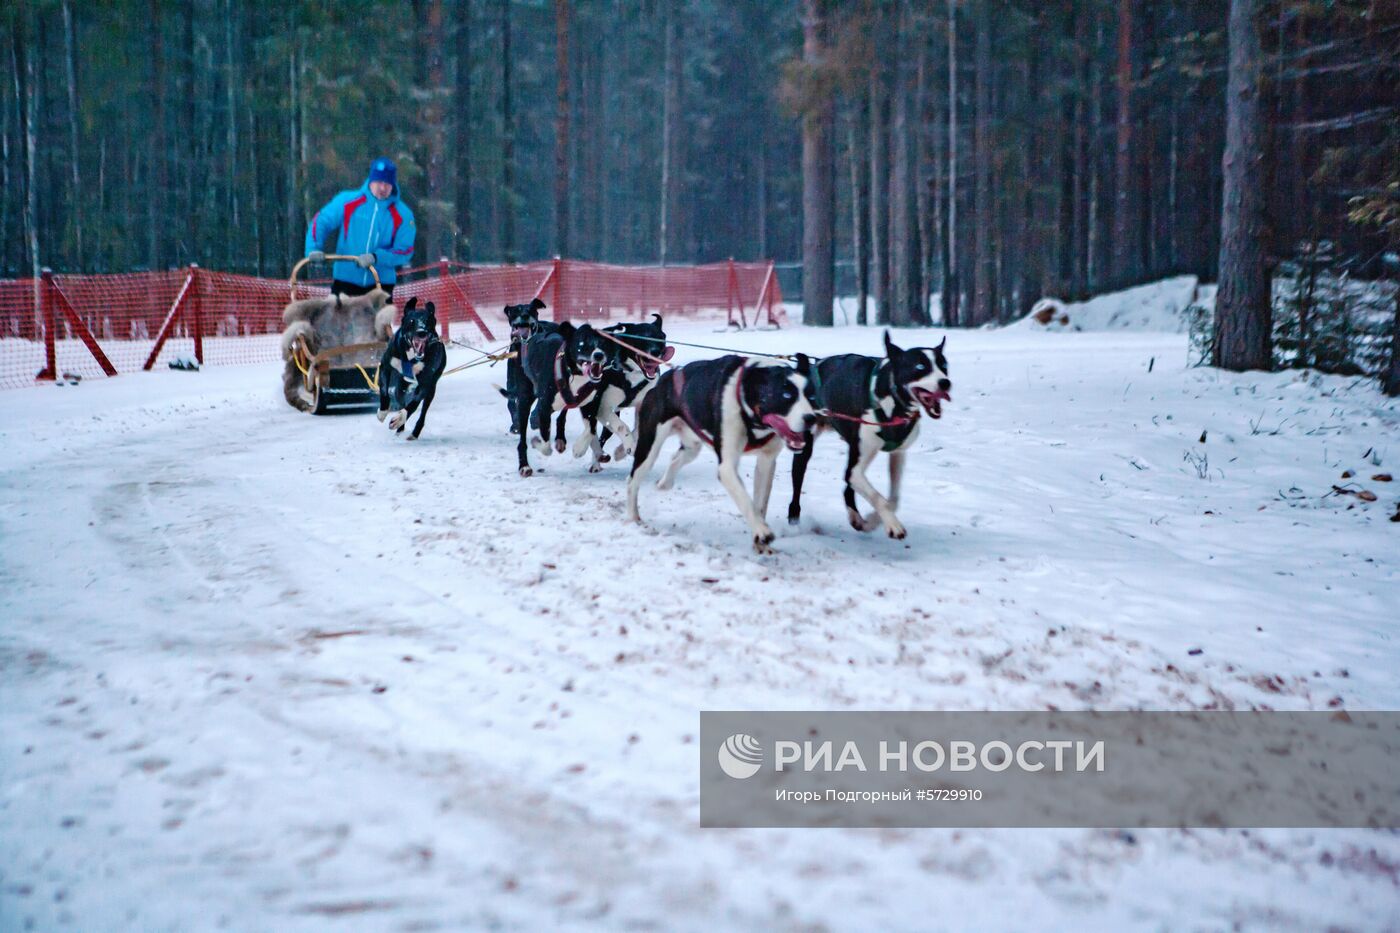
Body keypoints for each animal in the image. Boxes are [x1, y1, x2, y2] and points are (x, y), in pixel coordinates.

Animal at [375, 298, 445, 442]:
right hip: (400, 388)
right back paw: (399, 430)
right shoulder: (385, 366)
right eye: (412, 321)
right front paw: (383, 412)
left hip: (431, 390)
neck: (412, 358)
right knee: (400, 399)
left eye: (428, 321)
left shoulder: (426, 383)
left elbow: (414, 404)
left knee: (422, 413)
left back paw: (413, 432)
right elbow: (384, 390)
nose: (421, 332)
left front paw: (400, 417)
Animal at [506, 319, 610, 476]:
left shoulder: (591, 405)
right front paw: (537, 443)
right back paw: (524, 466)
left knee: (562, 415)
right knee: (522, 440)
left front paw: (579, 448)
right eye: (582, 343)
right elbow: (546, 445)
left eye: (602, 343)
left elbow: (590, 430)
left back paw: (561, 439)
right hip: (524, 400)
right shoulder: (543, 408)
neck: (573, 372)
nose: (599, 355)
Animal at [571, 313, 674, 473]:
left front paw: (622, 450)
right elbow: (621, 426)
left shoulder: (644, 404)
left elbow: (638, 430)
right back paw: (586, 452)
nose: (656, 352)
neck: (631, 373)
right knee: (593, 428)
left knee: (602, 433)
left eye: (660, 338)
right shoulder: (603, 407)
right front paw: (629, 445)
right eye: (641, 338)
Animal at [627, 353, 817, 549]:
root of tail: (665, 379)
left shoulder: (767, 462)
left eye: (811, 396)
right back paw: (633, 517)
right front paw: (762, 531)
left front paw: (759, 534)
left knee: (675, 459)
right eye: (786, 395)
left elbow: (759, 504)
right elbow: (745, 500)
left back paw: (664, 483)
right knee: (632, 480)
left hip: (692, 445)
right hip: (649, 447)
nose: (811, 418)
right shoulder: (727, 467)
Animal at [789, 330, 952, 537]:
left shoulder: (897, 453)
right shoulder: (858, 467)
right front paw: (892, 524)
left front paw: (874, 520)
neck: (891, 401)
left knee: (847, 487)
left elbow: (893, 498)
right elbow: (878, 497)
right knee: (800, 481)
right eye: (920, 366)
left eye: (944, 365)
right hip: (806, 448)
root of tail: (811, 367)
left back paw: (857, 518)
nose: (945, 383)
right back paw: (794, 519)